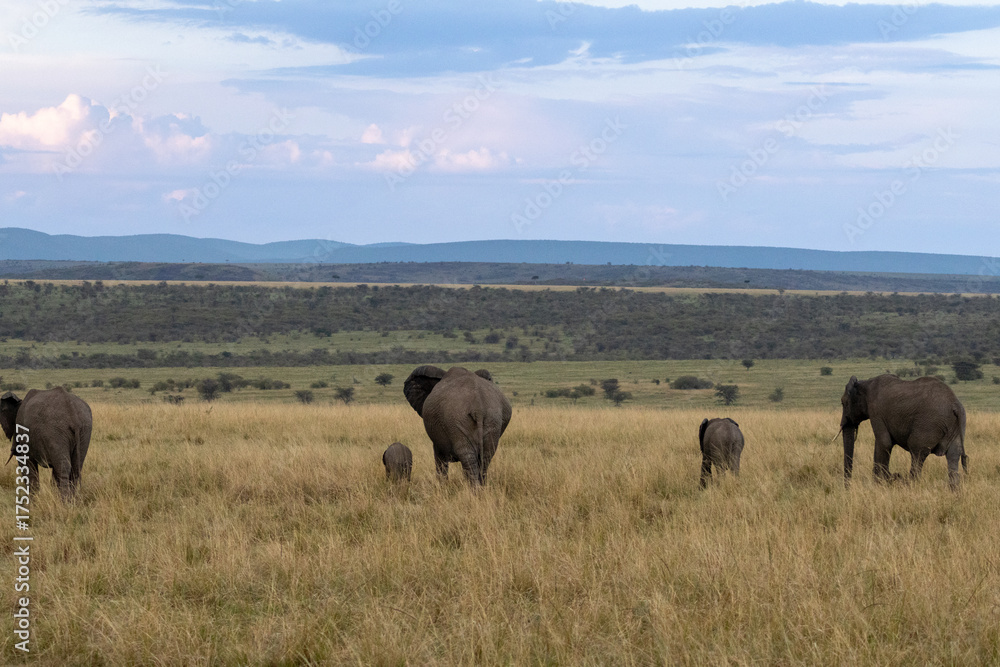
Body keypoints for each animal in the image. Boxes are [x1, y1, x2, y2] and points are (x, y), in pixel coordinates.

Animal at [839, 374, 968, 489]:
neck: (864, 384)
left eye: (843, 403)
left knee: (917, 453)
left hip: (928, 425)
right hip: (955, 428)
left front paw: (880, 484)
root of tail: (955, 405)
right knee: (953, 456)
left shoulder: (876, 412)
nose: (847, 488)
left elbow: (884, 443)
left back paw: (911, 486)